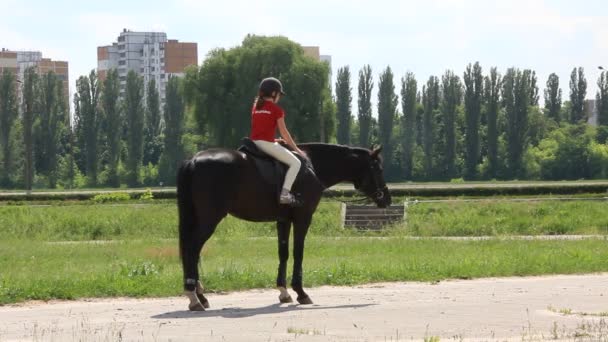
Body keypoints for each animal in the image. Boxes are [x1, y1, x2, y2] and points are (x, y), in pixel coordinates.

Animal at [178, 142, 392, 310]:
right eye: (379, 169)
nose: (387, 199)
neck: (312, 167)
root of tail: (193, 160)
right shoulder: (303, 218)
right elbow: (298, 252)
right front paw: (301, 292)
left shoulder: (283, 220)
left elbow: (283, 253)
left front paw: (284, 292)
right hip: (209, 219)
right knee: (192, 250)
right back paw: (195, 297)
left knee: (191, 251)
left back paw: (199, 296)